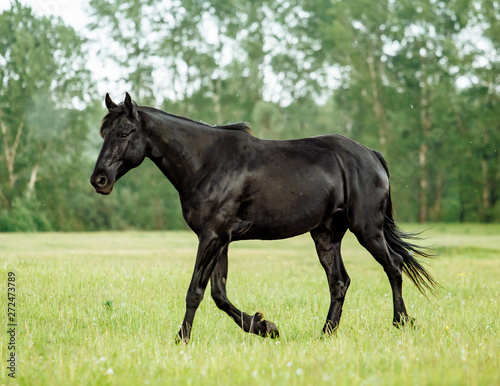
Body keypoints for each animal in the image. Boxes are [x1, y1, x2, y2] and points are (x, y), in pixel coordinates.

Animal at [91, 92, 438, 344]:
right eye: (103, 132)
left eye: (125, 132)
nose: (99, 180)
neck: (206, 162)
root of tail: (372, 156)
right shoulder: (220, 240)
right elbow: (218, 294)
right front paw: (264, 326)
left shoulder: (212, 237)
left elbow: (196, 291)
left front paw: (182, 339)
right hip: (326, 236)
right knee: (340, 281)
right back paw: (325, 333)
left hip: (367, 229)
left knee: (393, 266)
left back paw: (401, 322)